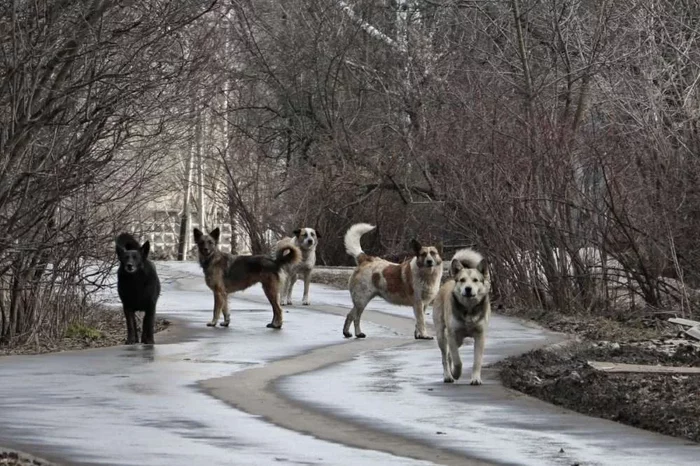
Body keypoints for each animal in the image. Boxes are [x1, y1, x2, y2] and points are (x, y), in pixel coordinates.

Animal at [432, 249, 492, 384]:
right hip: (442, 335)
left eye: (475, 280)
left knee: (449, 354)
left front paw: (475, 378)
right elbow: (457, 360)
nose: (468, 289)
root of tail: (449, 280)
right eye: (462, 280)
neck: (468, 309)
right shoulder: (452, 335)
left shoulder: (480, 336)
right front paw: (456, 373)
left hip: (458, 340)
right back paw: (448, 375)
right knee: (445, 356)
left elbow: (477, 360)